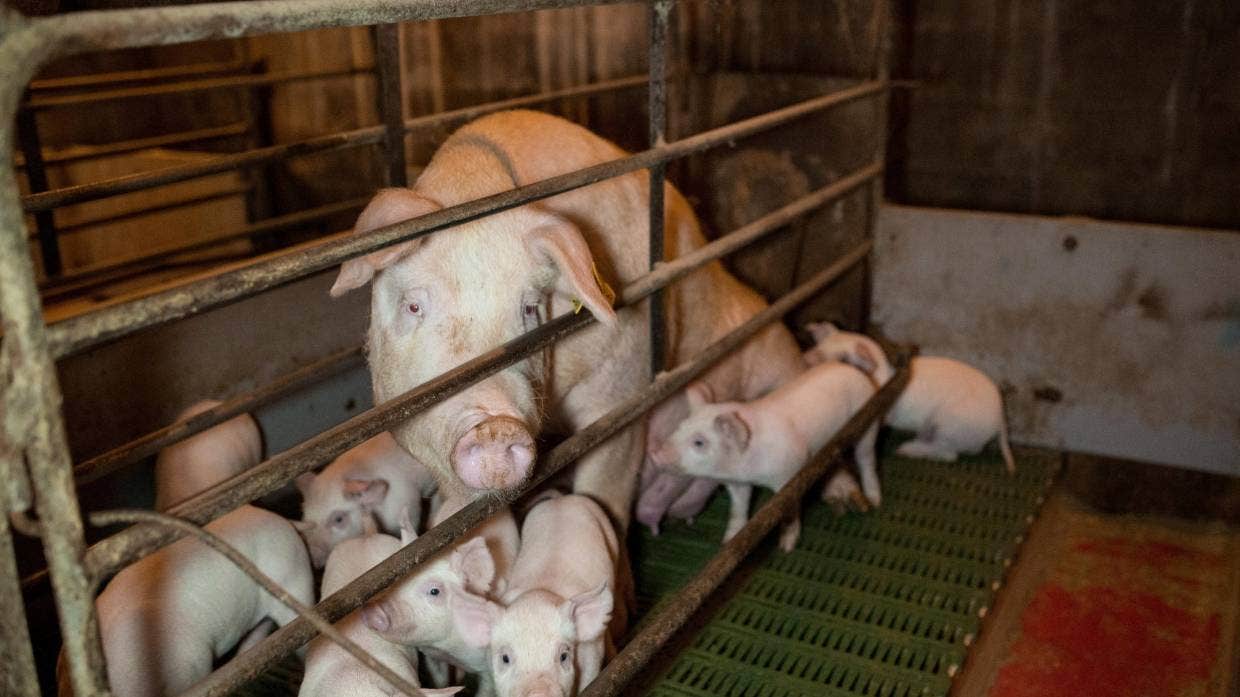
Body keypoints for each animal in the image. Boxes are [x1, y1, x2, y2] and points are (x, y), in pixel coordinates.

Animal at [361, 498, 520, 696]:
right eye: (394, 581)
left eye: (434, 591)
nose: (372, 610)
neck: (450, 649)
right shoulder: (431, 655)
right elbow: (440, 680)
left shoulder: (489, 668)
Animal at [452, 494, 621, 697]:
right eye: (505, 658)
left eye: (563, 656)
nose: (539, 693)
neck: (538, 595)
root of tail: (561, 499)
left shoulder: (592, 656)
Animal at [650, 363, 880, 552]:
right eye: (679, 427)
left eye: (699, 442)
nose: (656, 454)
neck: (750, 471)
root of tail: (853, 370)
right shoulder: (737, 483)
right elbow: (738, 509)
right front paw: (728, 542)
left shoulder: (789, 476)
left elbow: (789, 512)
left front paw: (786, 547)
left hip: (867, 422)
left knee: (866, 458)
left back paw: (874, 502)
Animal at [804, 322, 1015, 473]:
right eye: (820, 345)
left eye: (844, 359)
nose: (809, 358)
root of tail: (1000, 419)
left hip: (949, 427)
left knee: (949, 454)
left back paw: (904, 449)